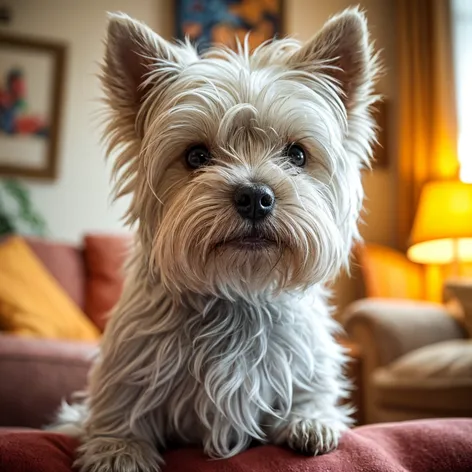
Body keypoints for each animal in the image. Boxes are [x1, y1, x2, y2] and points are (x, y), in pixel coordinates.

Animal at [54, 8, 380, 472]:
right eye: (196, 156)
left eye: (297, 154)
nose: (255, 196)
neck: (238, 292)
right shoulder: (128, 367)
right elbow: (119, 412)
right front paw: (118, 450)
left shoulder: (309, 364)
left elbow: (312, 397)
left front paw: (310, 422)